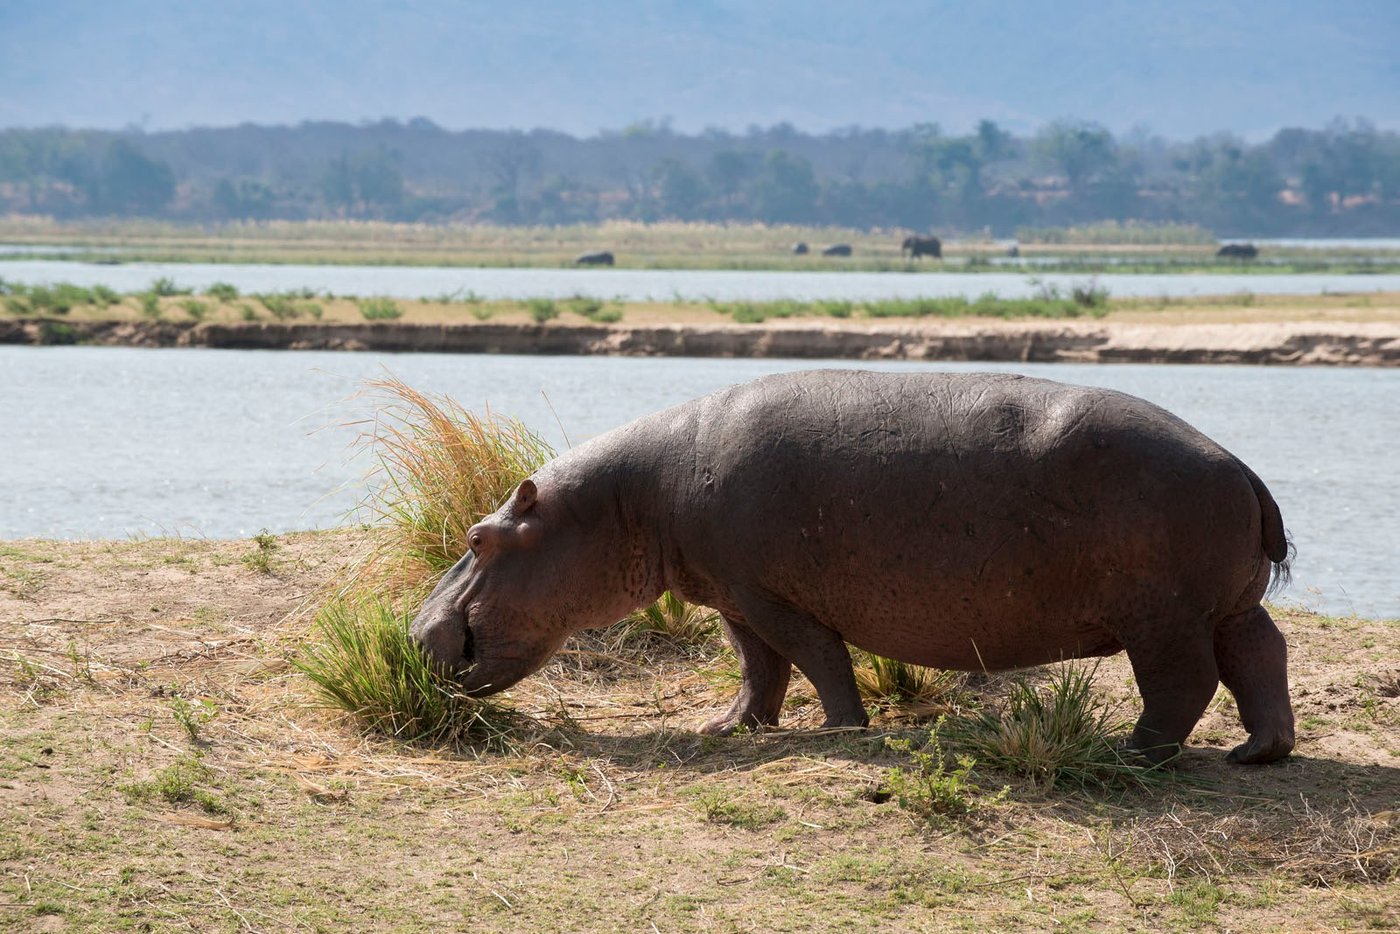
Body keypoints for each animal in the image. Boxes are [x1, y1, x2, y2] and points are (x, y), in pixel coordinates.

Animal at [411, 370, 1295, 765]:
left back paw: (1131, 753)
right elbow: (756, 667)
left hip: (1163, 618)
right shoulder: (733, 595)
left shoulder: (770, 596)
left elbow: (815, 658)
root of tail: (1244, 467)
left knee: (1184, 683)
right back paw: (1258, 753)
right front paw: (729, 729)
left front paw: (840, 731)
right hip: (1224, 606)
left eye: (479, 537)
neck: (630, 499)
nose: (415, 631)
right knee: (1262, 655)